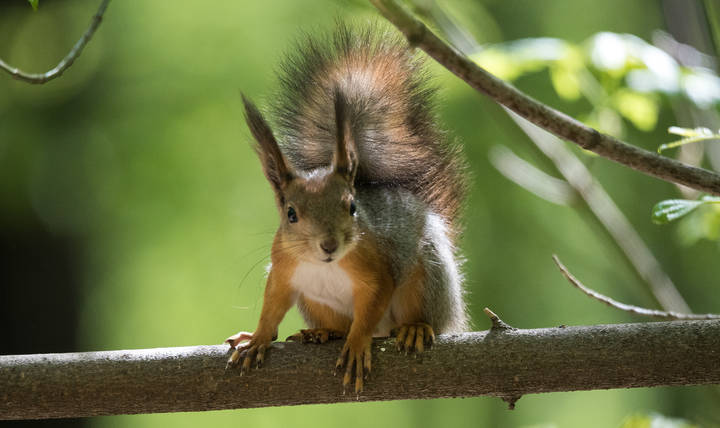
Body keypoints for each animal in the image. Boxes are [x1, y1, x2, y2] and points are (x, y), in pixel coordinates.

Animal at [225, 23, 469, 393]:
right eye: (290, 214)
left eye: (352, 206)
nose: (329, 245)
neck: (324, 264)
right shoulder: (282, 270)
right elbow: (272, 307)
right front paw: (257, 338)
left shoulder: (376, 270)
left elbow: (370, 310)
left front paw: (356, 345)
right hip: (314, 303)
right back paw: (324, 332)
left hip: (430, 274)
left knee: (425, 317)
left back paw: (415, 328)